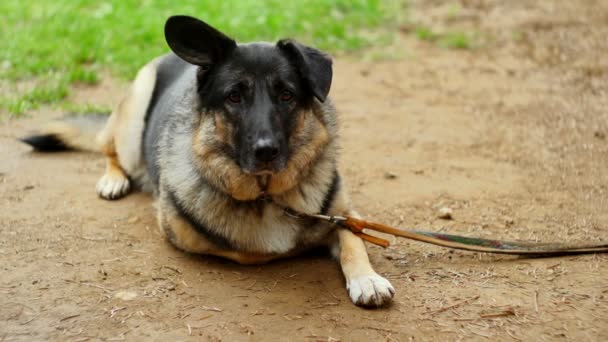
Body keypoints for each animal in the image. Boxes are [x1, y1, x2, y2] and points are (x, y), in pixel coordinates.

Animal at [20, 15, 394, 308]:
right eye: (234, 96)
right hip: (131, 121)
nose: (266, 151)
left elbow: (353, 240)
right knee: (108, 148)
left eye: (286, 95)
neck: (266, 195)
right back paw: (114, 179)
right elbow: (250, 250)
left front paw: (367, 278)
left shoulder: (344, 214)